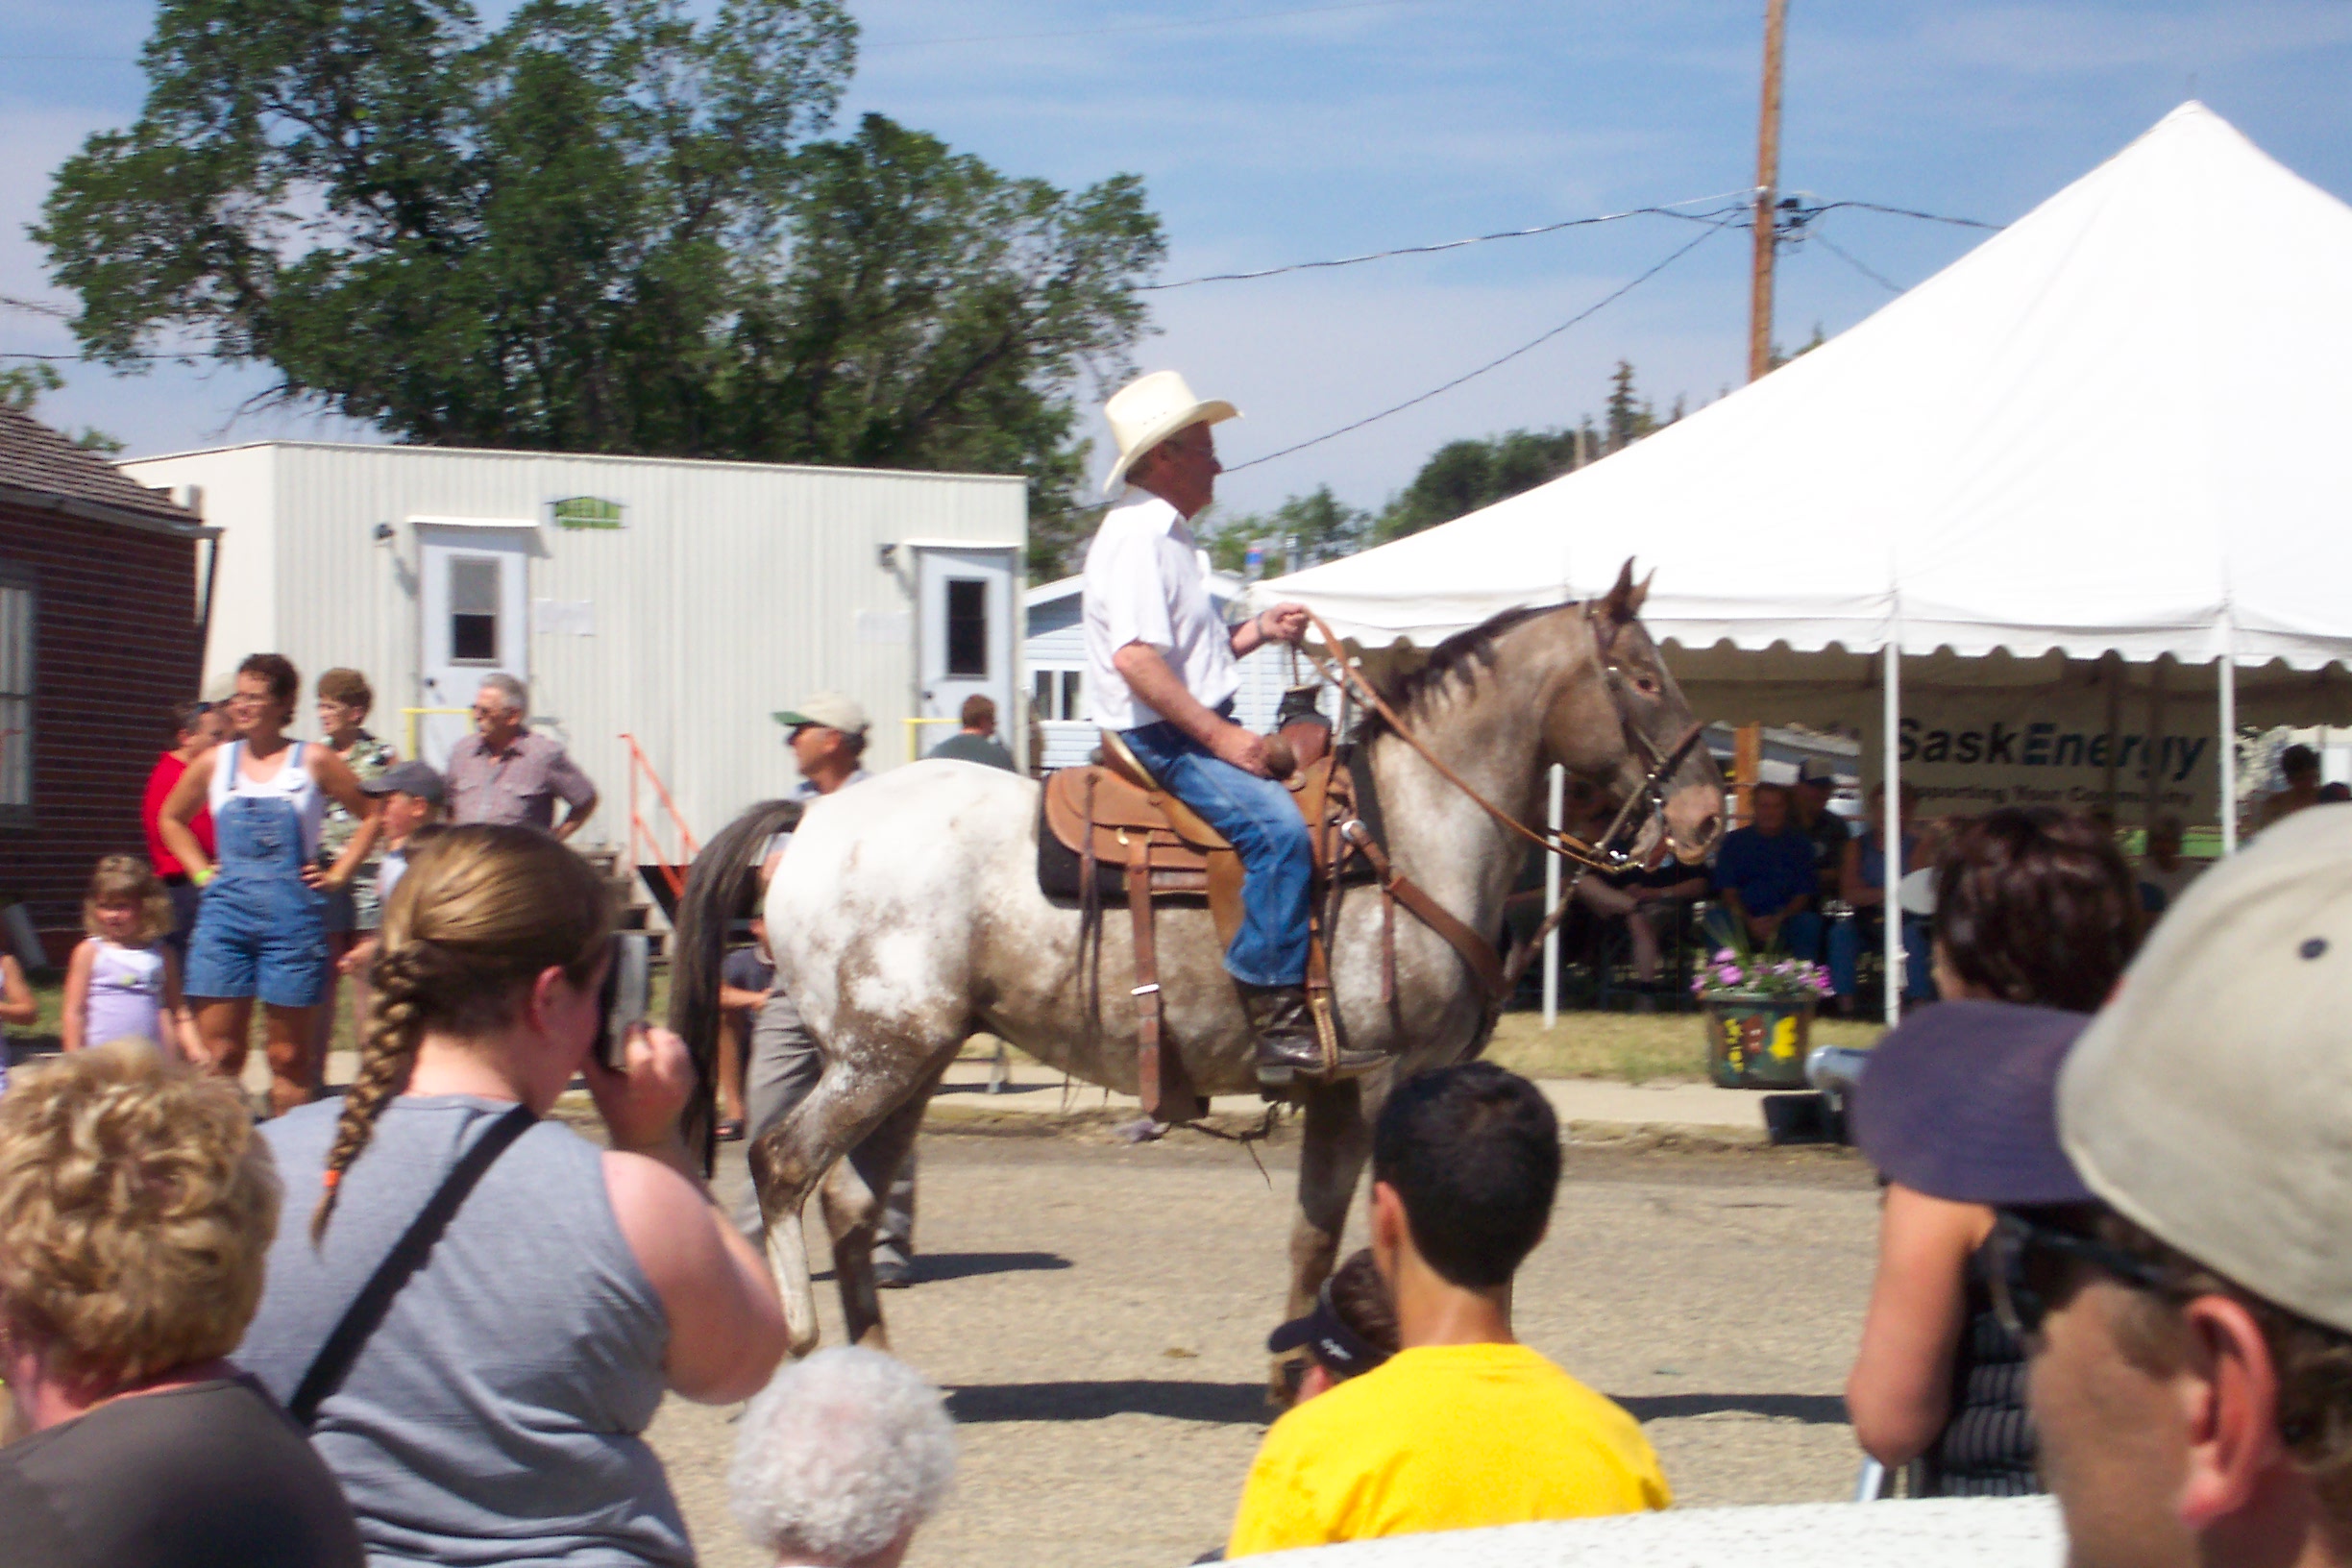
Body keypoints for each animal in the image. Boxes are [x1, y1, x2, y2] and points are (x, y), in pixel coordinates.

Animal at [669, 561, 1725, 1362]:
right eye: (1639, 675)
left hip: (908, 1064)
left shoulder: (1346, 1093)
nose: (1709, 815)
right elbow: (1354, 1236)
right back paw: (803, 1346)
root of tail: (810, 822)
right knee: (783, 1165)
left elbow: (1312, 1236)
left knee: (851, 1200)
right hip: (878, 1059)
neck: (1412, 829)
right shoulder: (1381, 1080)